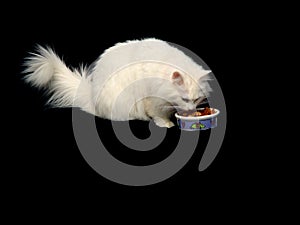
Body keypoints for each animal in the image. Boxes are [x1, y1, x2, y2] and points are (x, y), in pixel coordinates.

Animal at [22, 37, 211, 127]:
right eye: (185, 99)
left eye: (196, 100)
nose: (191, 110)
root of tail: (91, 95)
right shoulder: (153, 99)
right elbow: (157, 113)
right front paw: (166, 123)